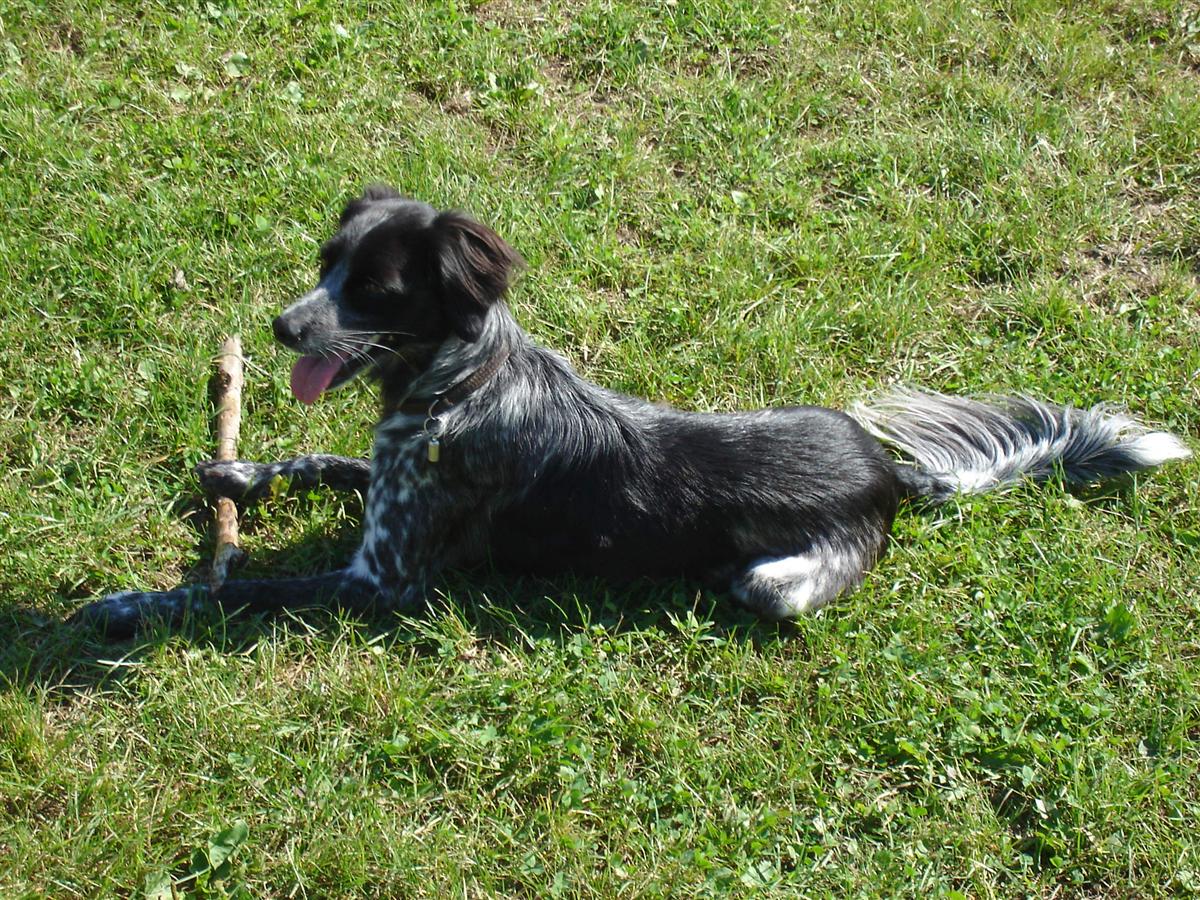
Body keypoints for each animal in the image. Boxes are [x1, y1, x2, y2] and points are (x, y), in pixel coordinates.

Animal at [72, 183, 1190, 638]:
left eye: (377, 289)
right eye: (326, 263)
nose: (281, 325)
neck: (460, 387)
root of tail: (888, 472)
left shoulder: (379, 582)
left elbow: (235, 594)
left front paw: (129, 607)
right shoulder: (389, 475)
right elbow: (325, 462)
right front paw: (236, 470)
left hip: (776, 585)